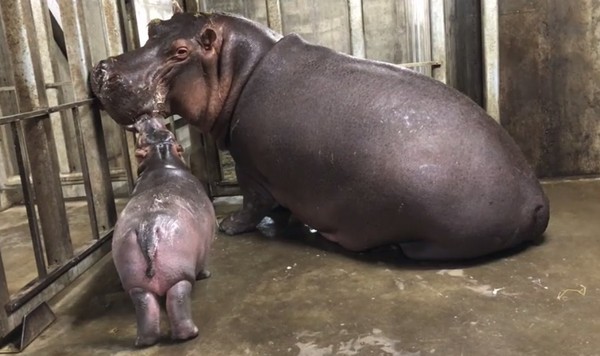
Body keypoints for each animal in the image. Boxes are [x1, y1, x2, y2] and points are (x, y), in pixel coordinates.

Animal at [92, 4, 548, 262]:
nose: (102, 70)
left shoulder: (249, 165)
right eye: (153, 27)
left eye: (181, 52)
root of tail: (536, 199)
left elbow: (255, 203)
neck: (238, 68)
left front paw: (229, 225)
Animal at [112, 115, 216, 346]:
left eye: (141, 137)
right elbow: (205, 260)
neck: (161, 160)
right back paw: (190, 334)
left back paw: (144, 341)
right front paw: (206, 274)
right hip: (179, 274)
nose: (146, 117)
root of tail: (148, 228)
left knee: (144, 304)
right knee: (178, 297)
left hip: (136, 283)